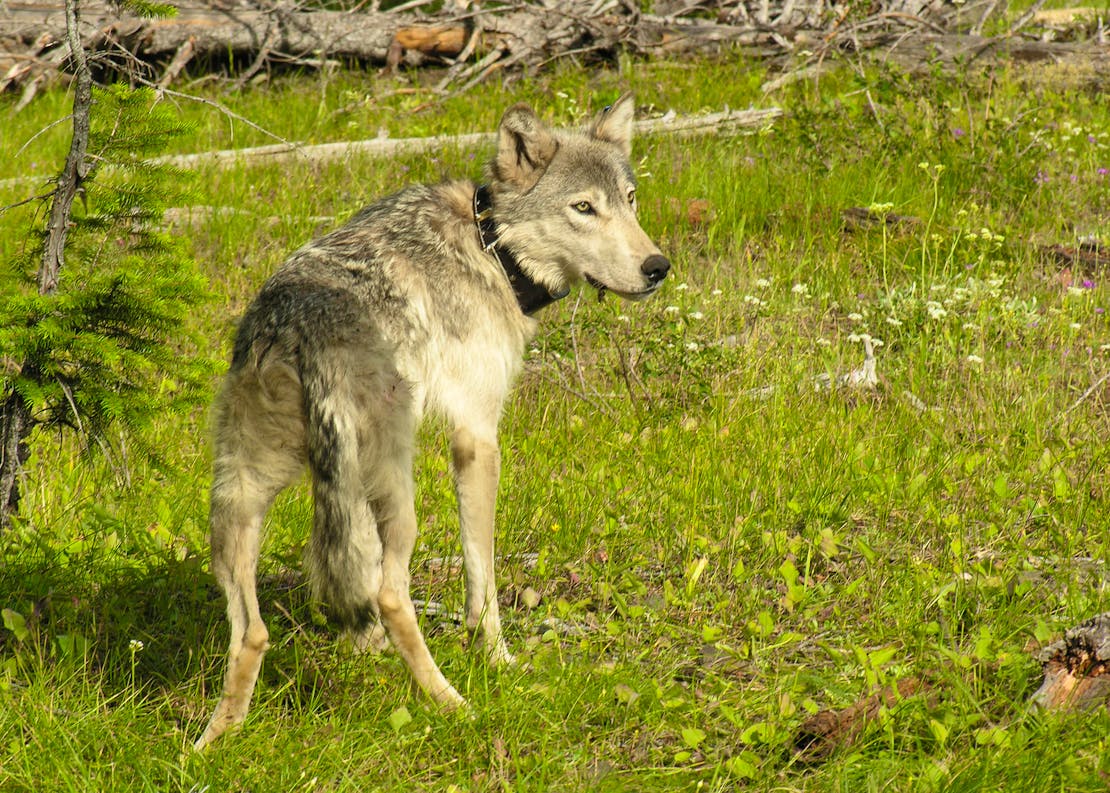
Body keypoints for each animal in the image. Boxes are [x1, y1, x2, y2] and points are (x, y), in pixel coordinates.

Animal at [194, 93, 670, 749]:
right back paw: (453, 704)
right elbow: (482, 574)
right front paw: (497, 659)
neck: (492, 248)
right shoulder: (477, 438)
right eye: (583, 208)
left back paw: (214, 741)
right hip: (397, 488)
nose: (658, 267)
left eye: (630, 199)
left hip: (242, 498)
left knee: (253, 632)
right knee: (390, 594)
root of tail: (300, 324)